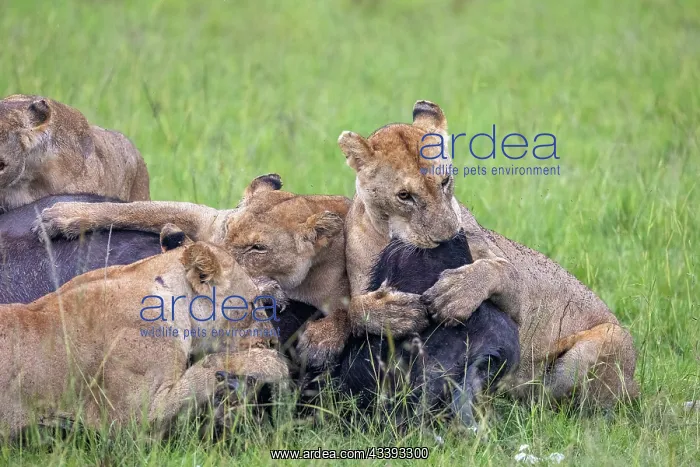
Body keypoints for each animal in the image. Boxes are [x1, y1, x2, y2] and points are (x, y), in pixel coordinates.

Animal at [33, 174, 353, 368]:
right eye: (227, 229)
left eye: (258, 248)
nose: (210, 258)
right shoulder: (208, 219)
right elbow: (140, 209)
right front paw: (63, 215)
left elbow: (351, 305)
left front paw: (321, 341)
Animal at [336, 100, 639, 409]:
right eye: (404, 196)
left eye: (445, 181)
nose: (447, 237)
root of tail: (634, 386)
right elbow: (352, 308)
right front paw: (392, 313)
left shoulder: (519, 300)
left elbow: (501, 269)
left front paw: (456, 292)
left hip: (607, 341)